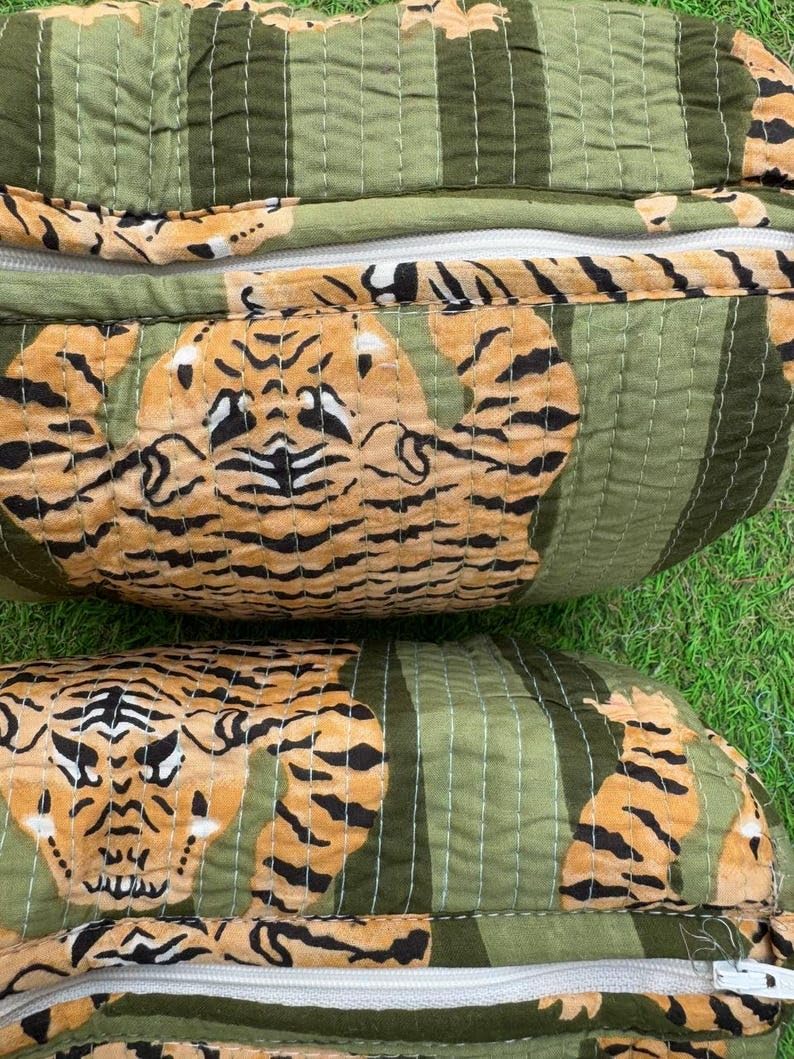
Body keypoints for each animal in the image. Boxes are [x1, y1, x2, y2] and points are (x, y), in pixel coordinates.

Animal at [0, 293, 579, 618]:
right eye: (232, 417)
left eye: (321, 408)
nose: (281, 461)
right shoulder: (75, 497)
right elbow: (34, 418)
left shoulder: (492, 466)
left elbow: (528, 371)